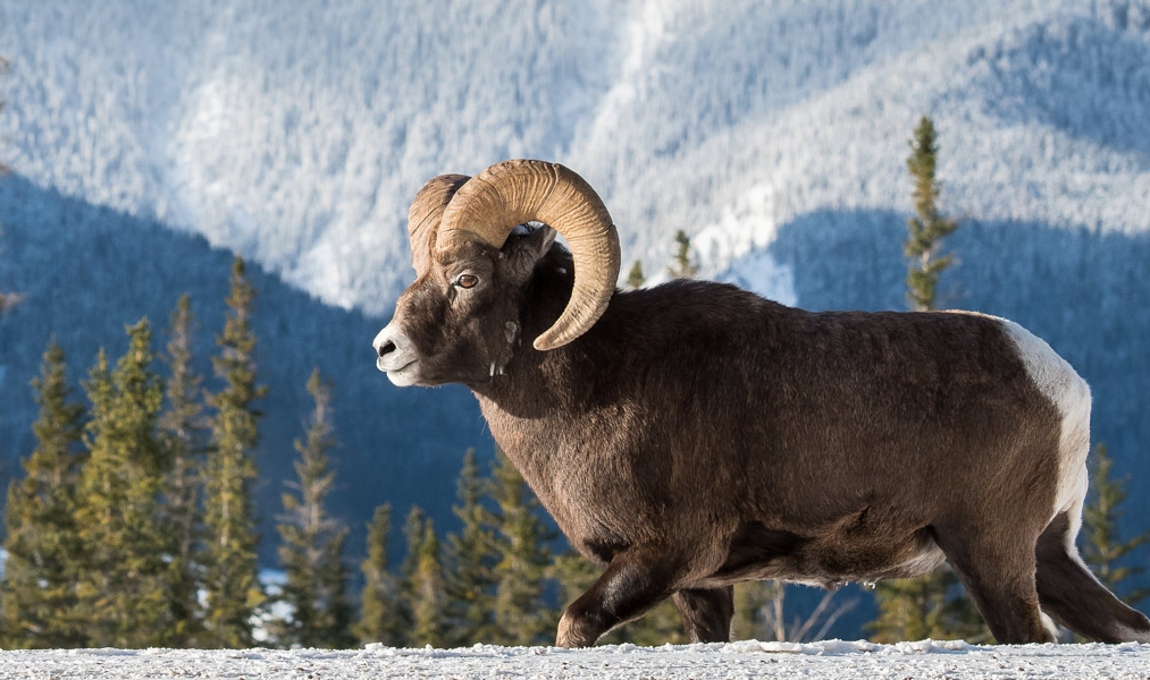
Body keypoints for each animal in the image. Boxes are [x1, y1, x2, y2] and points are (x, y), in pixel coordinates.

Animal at [372, 159, 1150, 647]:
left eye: (467, 278)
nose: (385, 350)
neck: (596, 386)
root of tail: (1066, 388)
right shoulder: (699, 587)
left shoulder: (669, 555)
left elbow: (575, 626)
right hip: (1047, 555)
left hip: (990, 554)